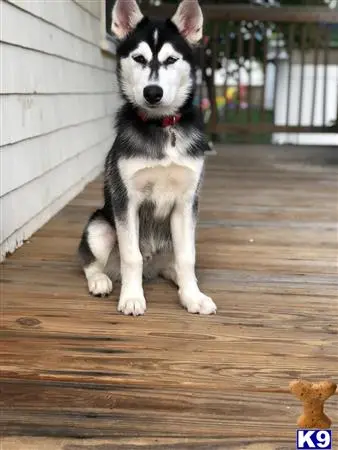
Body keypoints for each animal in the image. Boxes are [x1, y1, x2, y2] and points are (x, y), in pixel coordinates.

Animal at [78, 0, 217, 316]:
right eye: (139, 58)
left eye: (171, 60)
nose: (153, 92)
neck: (162, 127)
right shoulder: (126, 200)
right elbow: (132, 256)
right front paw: (131, 297)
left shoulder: (187, 202)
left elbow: (188, 258)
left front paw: (192, 297)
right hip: (99, 227)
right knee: (91, 262)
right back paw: (100, 281)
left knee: (175, 263)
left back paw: (180, 280)